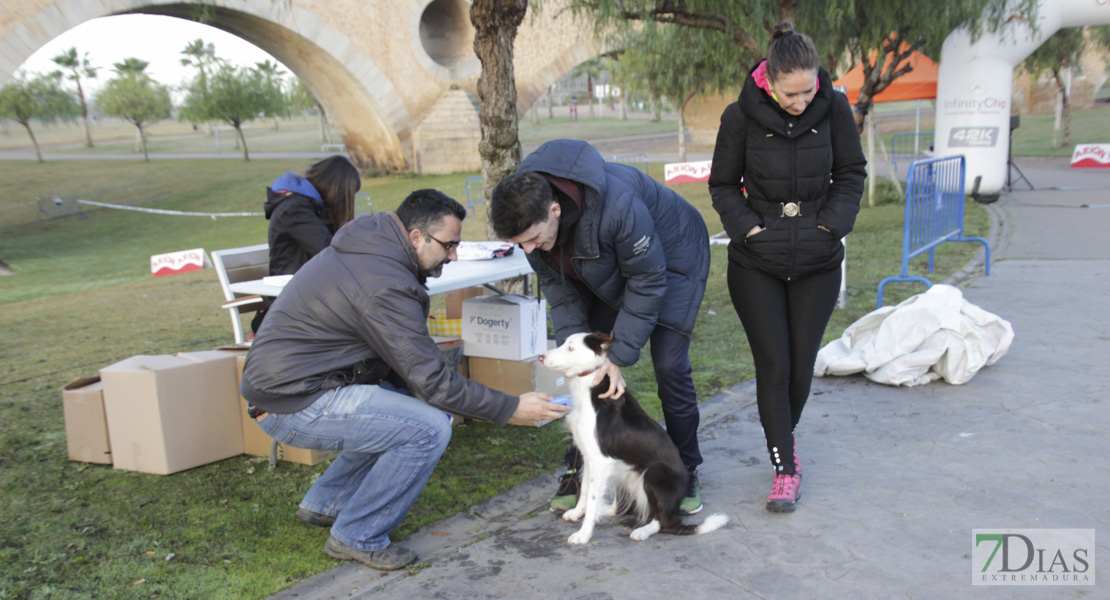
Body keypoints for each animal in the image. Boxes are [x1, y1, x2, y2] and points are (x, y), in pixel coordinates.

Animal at [539, 330, 728, 545]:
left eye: (571, 348)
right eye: (563, 344)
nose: (540, 357)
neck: (588, 389)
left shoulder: (600, 460)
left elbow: (592, 498)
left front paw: (584, 534)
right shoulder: (588, 456)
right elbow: (586, 490)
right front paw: (579, 513)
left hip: (653, 474)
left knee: (665, 521)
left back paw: (643, 530)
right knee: (625, 508)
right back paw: (605, 511)